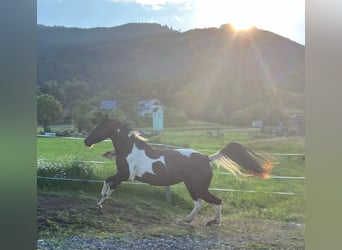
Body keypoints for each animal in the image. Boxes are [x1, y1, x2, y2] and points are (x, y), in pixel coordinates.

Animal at [85, 116, 276, 226]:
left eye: (99, 127)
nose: (86, 142)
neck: (130, 150)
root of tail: (207, 158)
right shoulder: (123, 176)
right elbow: (110, 185)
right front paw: (101, 202)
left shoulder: (126, 175)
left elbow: (107, 181)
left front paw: (100, 201)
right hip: (197, 186)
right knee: (210, 201)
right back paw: (206, 221)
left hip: (195, 186)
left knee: (208, 201)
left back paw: (199, 221)